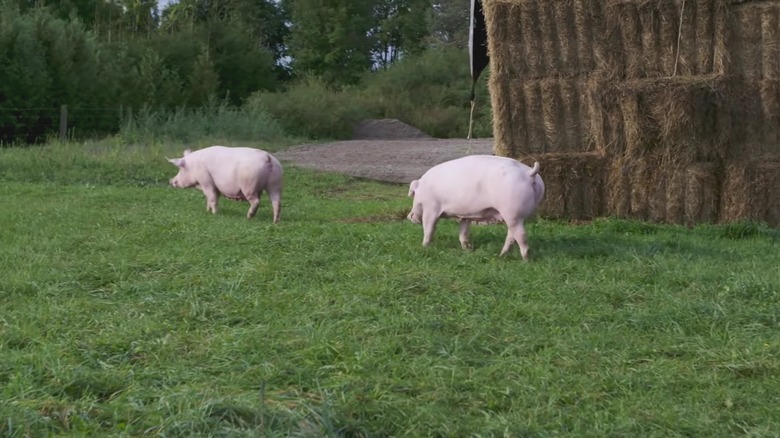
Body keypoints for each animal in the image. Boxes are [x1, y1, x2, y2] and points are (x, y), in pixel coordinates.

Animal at [407, 155, 545, 261]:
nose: (409, 216)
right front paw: (467, 249)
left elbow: (429, 229)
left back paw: (525, 260)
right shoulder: (465, 215)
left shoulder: (431, 208)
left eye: (413, 194)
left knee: (520, 235)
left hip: (513, 212)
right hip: (516, 216)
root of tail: (529, 174)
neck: (423, 188)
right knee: (511, 235)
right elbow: (463, 232)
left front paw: (424, 246)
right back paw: (501, 255)